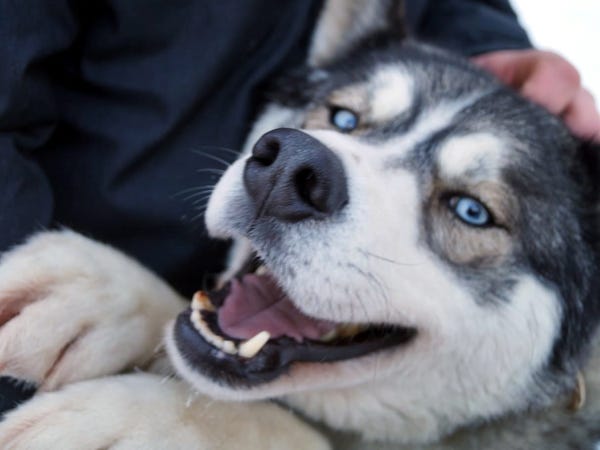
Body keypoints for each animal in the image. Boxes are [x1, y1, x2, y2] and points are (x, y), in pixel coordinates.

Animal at [1, 0, 600, 450]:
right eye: (344, 118)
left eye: (471, 211)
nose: (289, 168)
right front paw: (105, 292)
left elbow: (283, 428)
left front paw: (146, 420)